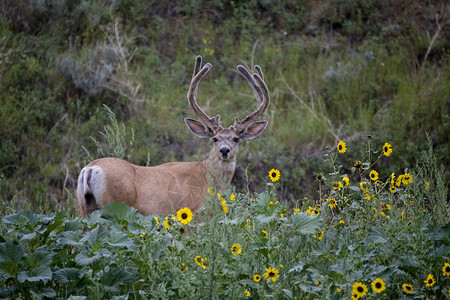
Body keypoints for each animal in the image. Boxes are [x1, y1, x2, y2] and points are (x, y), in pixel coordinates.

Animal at [75, 55, 268, 218]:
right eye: (215, 138)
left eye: (236, 138)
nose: (225, 151)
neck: (208, 180)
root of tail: (90, 169)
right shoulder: (192, 213)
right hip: (114, 205)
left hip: (84, 207)